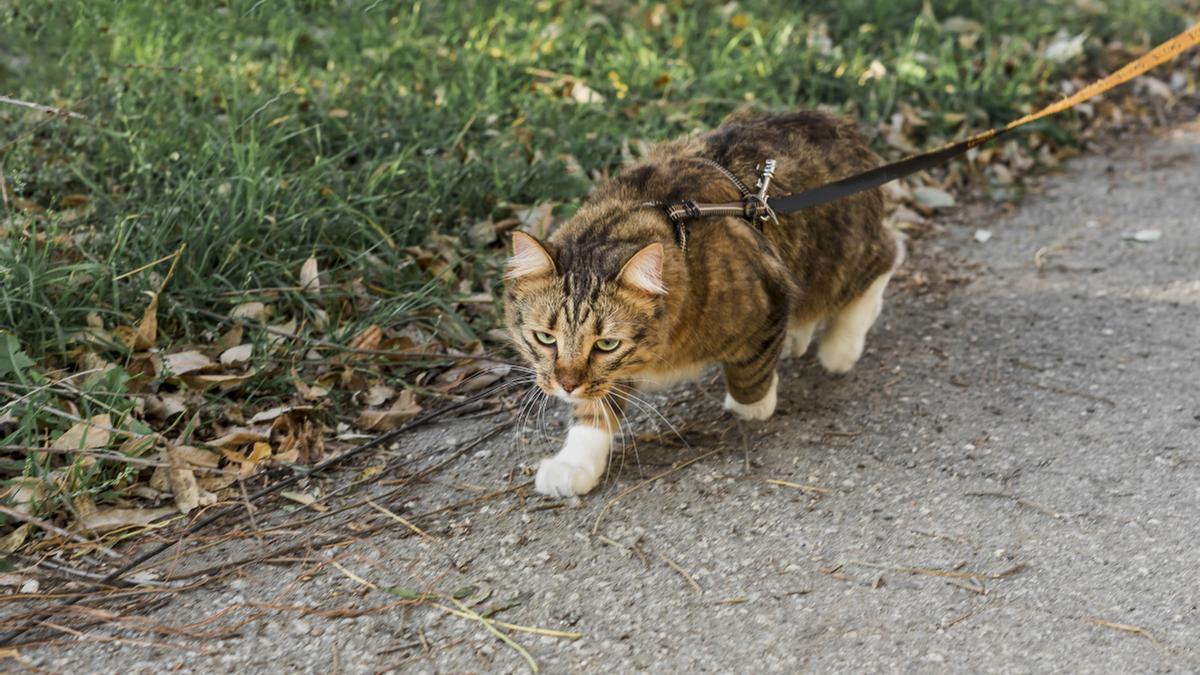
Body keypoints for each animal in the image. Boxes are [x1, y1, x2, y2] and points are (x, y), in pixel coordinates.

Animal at [501, 109, 902, 494]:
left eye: (606, 344)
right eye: (545, 338)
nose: (565, 385)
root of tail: (845, 128)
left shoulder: (768, 294)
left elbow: (751, 374)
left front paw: (754, 405)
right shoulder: (609, 374)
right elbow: (594, 411)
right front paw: (575, 463)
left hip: (839, 260)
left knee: (889, 254)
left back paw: (841, 344)